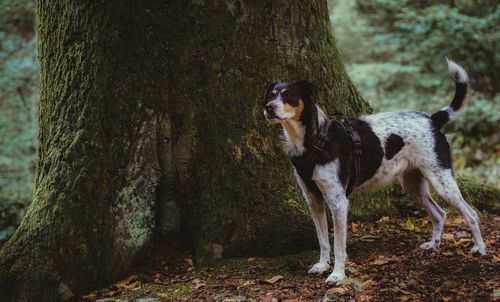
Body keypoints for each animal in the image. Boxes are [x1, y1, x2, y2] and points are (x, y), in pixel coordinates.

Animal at [264, 59, 486, 286]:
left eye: (289, 95)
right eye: (271, 95)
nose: (268, 108)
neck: (315, 139)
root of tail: (432, 120)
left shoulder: (338, 202)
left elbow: (339, 246)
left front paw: (337, 275)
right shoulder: (314, 199)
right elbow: (323, 240)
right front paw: (322, 265)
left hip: (442, 182)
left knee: (471, 214)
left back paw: (479, 248)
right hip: (413, 186)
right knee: (439, 214)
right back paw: (434, 244)